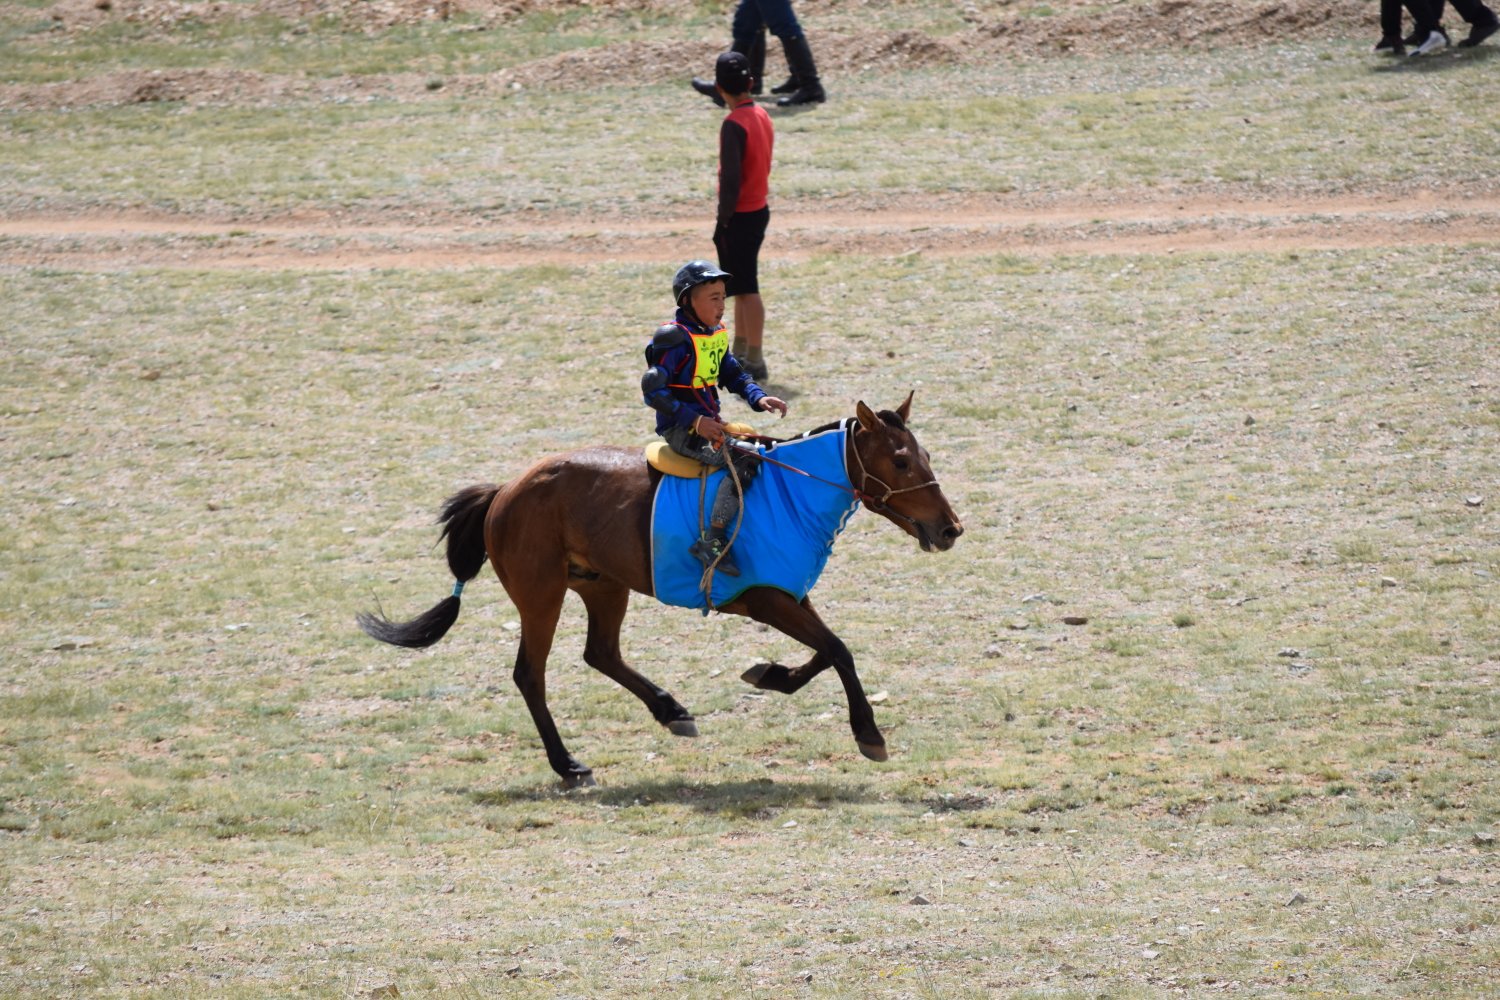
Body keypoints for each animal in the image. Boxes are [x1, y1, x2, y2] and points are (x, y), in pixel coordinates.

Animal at [357, 393, 963, 786]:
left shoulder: (787, 595)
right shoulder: (767, 599)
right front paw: (869, 733)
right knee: (531, 674)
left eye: (927, 457)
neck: (791, 492)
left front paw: (770, 674)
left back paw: (671, 711)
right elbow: (838, 650)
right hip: (541, 595)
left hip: (603, 586)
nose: (950, 528)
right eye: (901, 460)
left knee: (601, 653)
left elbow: (825, 651)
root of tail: (507, 488)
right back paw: (569, 764)